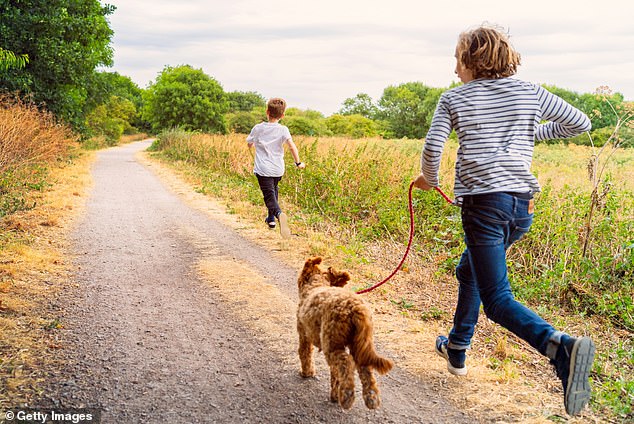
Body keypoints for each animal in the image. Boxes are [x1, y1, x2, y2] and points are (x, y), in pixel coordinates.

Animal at [296, 256, 390, 410]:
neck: (315, 286)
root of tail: (355, 308)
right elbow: (335, 375)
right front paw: (334, 394)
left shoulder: (304, 334)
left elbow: (305, 355)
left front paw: (307, 373)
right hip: (358, 343)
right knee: (364, 368)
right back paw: (371, 398)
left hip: (331, 343)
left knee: (346, 363)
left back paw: (347, 396)